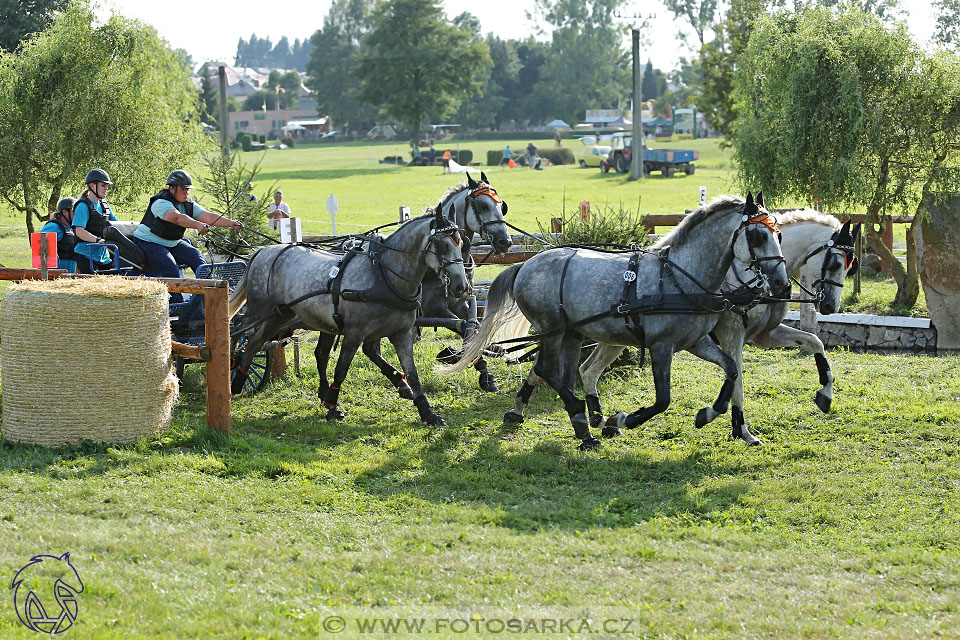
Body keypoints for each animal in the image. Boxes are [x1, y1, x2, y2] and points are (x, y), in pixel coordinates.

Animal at [230, 210, 468, 428]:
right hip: (261, 312)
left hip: (282, 315)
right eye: (442, 245)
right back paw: (234, 375)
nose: (460, 286)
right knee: (239, 332)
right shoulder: (354, 333)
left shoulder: (400, 334)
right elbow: (341, 370)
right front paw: (332, 407)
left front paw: (427, 412)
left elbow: (412, 373)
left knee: (261, 344)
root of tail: (262, 251)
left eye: (461, 242)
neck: (384, 276)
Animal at [402, 171, 512, 390]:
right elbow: (463, 327)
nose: (505, 241)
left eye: (501, 205)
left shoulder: (460, 302)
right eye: (483, 205)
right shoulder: (434, 308)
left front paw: (485, 368)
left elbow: (473, 326)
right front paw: (455, 355)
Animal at [442, 195, 788, 450]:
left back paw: (584, 424)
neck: (678, 277)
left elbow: (731, 370)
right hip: (552, 330)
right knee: (547, 370)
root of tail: (526, 265)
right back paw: (584, 420)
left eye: (779, 234)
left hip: (573, 334)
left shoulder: (696, 342)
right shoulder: (661, 346)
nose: (781, 284)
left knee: (567, 372)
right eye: (758, 234)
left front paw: (707, 415)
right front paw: (622, 419)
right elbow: (662, 400)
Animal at [576, 210, 864, 444]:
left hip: (615, 337)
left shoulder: (766, 335)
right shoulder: (731, 335)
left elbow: (815, 342)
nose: (830, 305)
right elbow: (737, 381)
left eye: (850, 266)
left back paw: (604, 423)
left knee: (588, 371)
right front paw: (740, 429)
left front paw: (825, 395)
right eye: (836, 263)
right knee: (588, 370)